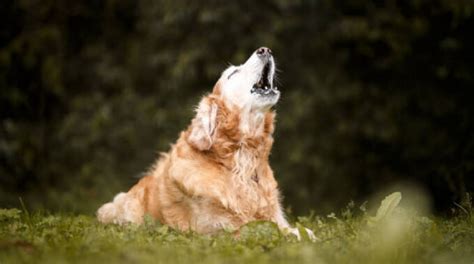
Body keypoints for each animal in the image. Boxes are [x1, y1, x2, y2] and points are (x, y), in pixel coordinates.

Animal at [96, 46, 314, 240]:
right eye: (233, 73)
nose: (265, 50)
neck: (240, 159)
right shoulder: (221, 229)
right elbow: (270, 231)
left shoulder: (275, 216)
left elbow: (297, 229)